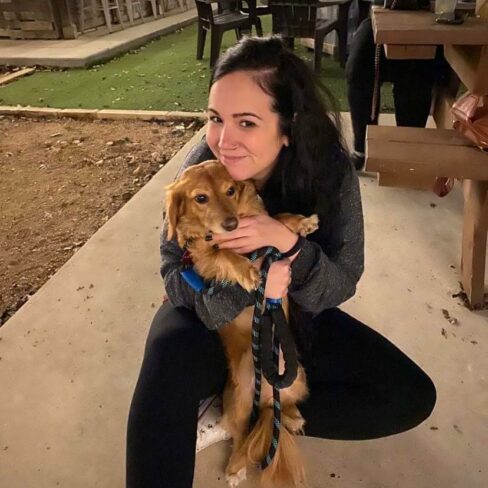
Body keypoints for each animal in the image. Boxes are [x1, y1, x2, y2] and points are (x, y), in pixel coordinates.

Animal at [165, 160, 319, 487]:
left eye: (230, 191)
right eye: (200, 198)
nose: (231, 224)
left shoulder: (259, 228)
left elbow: (276, 220)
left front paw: (301, 223)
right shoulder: (204, 262)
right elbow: (224, 253)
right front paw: (247, 270)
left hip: (298, 378)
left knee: (281, 405)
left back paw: (291, 416)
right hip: (239, 404)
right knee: (239, 437)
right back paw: (235, 468)